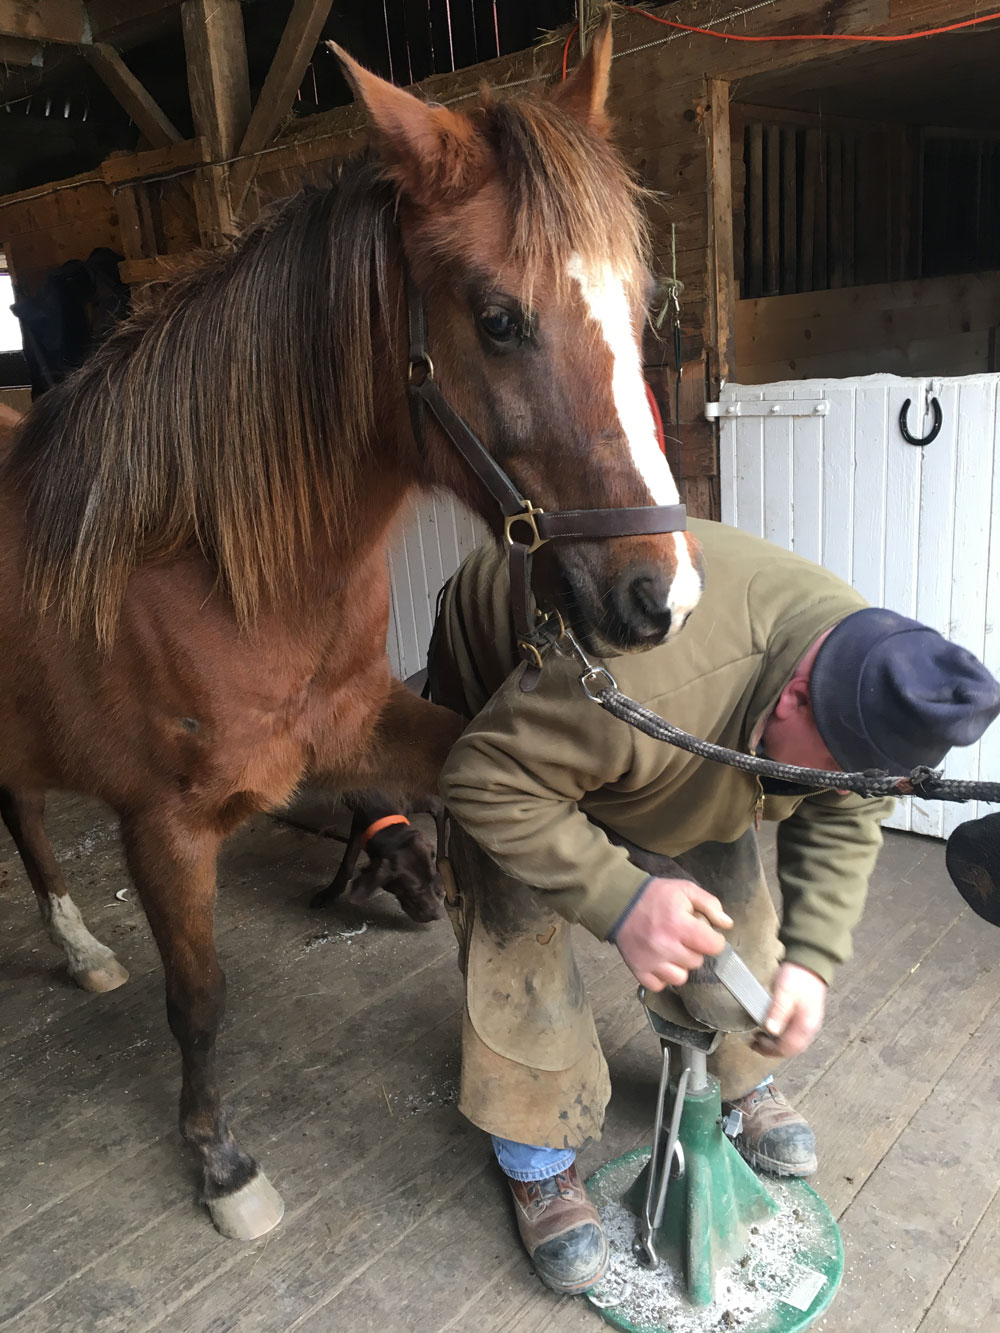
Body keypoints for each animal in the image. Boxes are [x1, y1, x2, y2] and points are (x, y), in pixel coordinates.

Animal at [0, 25, 704, 1237]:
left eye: (639, 297)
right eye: (499, 319)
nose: (658, 596)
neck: (204, 565)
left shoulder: (364, 723)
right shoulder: (162, 828)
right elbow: (200, 997)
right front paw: (221, 1164)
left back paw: (82, 950)